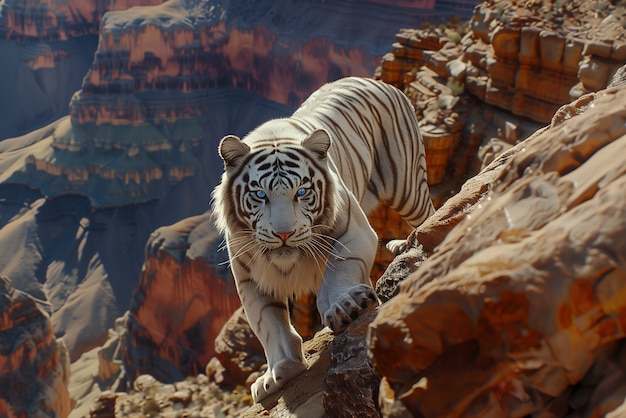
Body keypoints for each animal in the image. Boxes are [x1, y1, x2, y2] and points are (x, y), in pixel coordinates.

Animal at [212, 76, 432, 402]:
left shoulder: (355, 232)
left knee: (428, 212)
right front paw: (279, 372)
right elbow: (268, 323)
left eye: (302, 192)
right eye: (260, 194)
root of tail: (376, 80)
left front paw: (346, 306)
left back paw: (409, 243)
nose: (284, 234)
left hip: (407, 186)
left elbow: (337, 272)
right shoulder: (249, 275)